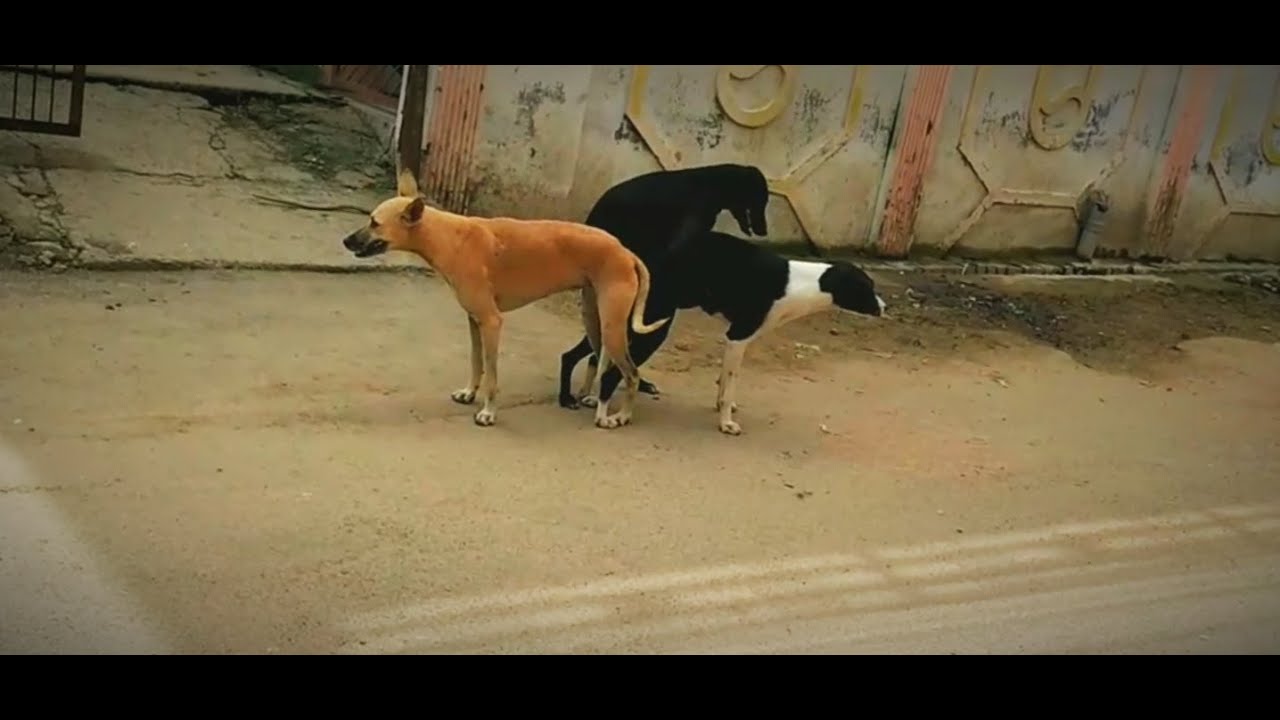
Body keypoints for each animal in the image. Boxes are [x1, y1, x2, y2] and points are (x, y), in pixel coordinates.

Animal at [345, 170, 670, 427]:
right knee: (602, 361)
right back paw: (592, 399)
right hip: (596, 321)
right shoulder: (474, 321)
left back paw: (619, 417)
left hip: (612, 327)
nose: (345, 241)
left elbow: (492, 373)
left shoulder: (491, 322)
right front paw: (469, 393)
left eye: (374, 223)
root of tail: (625, 251)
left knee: (632, 374)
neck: (449, 236)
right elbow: (477, 362)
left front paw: (488, 412)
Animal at [552, 163, 768, 409]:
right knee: (584, 357)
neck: (711, 182)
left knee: (590, 356)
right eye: (761, 199)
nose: (764, 231)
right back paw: (570, 396)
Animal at [578, 229, 885, 430]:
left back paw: (593, 399)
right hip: (653, 328)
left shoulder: (735, 339)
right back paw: (614, 416)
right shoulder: (738, 337)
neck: (803, 283)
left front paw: (720, 406)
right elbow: (730, 386)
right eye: (867, 288)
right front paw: (726, 422)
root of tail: (638, 260)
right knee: (618, 373)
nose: (884, 308)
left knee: (602, 357)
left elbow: (724, 381)